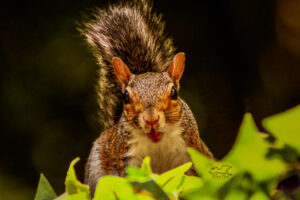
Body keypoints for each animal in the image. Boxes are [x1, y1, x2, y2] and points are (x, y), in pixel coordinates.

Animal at [78, 0, 214, 195]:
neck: (156, 141)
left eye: (174, 93)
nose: (151, 120)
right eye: (125, 97)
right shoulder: (126, 158)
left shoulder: (191, 152)